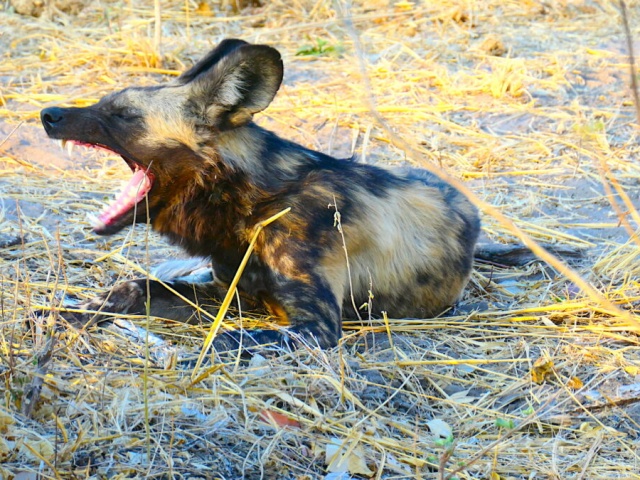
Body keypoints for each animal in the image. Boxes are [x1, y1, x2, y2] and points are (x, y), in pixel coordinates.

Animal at [40, 39, 481, 353]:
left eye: (124, 115)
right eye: (105, 102)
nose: (48, 114)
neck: (252, 204)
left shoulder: (317, 325)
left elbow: (229, 340)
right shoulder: (227, 293)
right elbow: (132, 288)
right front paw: (71, 313)